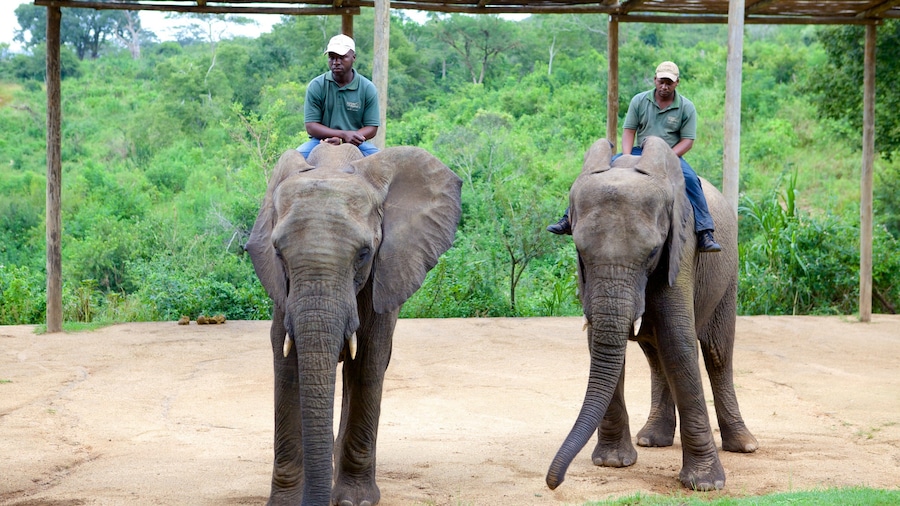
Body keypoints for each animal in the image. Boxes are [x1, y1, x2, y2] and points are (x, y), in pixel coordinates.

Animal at [245, 142, 462, 506]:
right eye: (278, 252)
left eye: (363, 253)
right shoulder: (282, 293)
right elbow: (287, 364)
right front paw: (286, 502)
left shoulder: (385, 274)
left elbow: (369, 361)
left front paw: (352, 501)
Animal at [545, 137, 758, 492]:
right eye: (580, 251)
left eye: (653, 252)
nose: (553, 482)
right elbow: (602, 340)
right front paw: (613, 463)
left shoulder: (682, 251)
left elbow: (679, 343)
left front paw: (705, 485)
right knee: (656, 355)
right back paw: (652, 440)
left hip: (728, 272)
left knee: (717, 354)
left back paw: (745, 445)